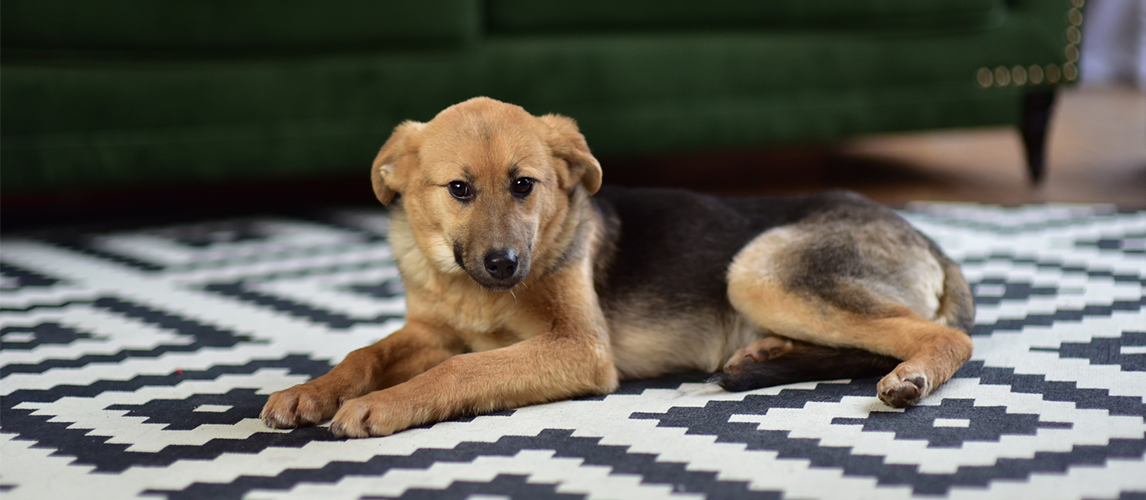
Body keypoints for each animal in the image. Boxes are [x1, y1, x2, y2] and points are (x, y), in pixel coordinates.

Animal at [262, 96, 976, 438]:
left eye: (524, 186)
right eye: (458, 190)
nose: (504, 265)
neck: (473, 293)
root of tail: (925, 235)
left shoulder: (579, 347)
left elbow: (465, 368)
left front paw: (383, 405)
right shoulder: (429, 330)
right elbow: (365, 352)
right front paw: (312, 391)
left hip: (759, 270)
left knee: (946, 337)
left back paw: (908, 378)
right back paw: (765, 356)